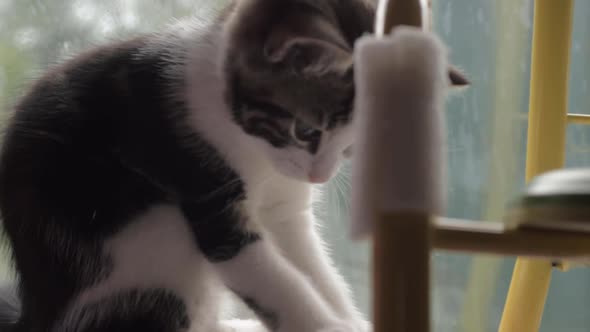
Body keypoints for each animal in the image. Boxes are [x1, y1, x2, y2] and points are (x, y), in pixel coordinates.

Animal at [0, 0, 468, 332]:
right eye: (307, 132)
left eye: (352, 147)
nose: (319, 174)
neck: (254, 149)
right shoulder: (198, 180)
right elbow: (272, 279)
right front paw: (326, 326)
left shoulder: (285, 204)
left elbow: (312, 265)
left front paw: (348, 318)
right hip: (149, 239)